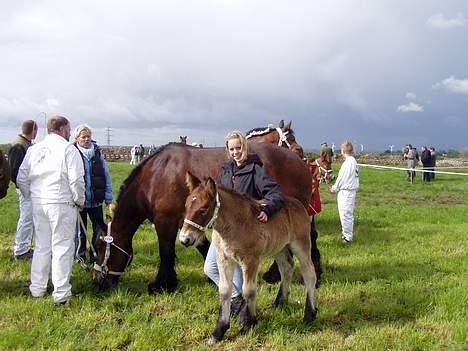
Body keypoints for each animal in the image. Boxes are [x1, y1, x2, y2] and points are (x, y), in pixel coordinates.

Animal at [92, 143, 312, 294]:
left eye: (101, 247)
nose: (98, 282)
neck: (155, 176)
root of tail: (301, 162)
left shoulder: (165, 223)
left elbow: (166, 253)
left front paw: (162, 284)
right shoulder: (190, 223)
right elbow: (204, 248)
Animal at [179, 173, 318, 344]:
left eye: (204, 209)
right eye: (186, 205)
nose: (185, 239)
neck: (235, 224)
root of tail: (299, 204)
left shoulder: (251, 260)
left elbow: (248, 290)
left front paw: (249, 324)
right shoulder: (224, 259)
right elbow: (224, 290)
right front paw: (219, 331)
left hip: (301, 244)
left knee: (309, 273)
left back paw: (309, 314)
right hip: (280, 247)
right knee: (286, 268)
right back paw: (280, 303)